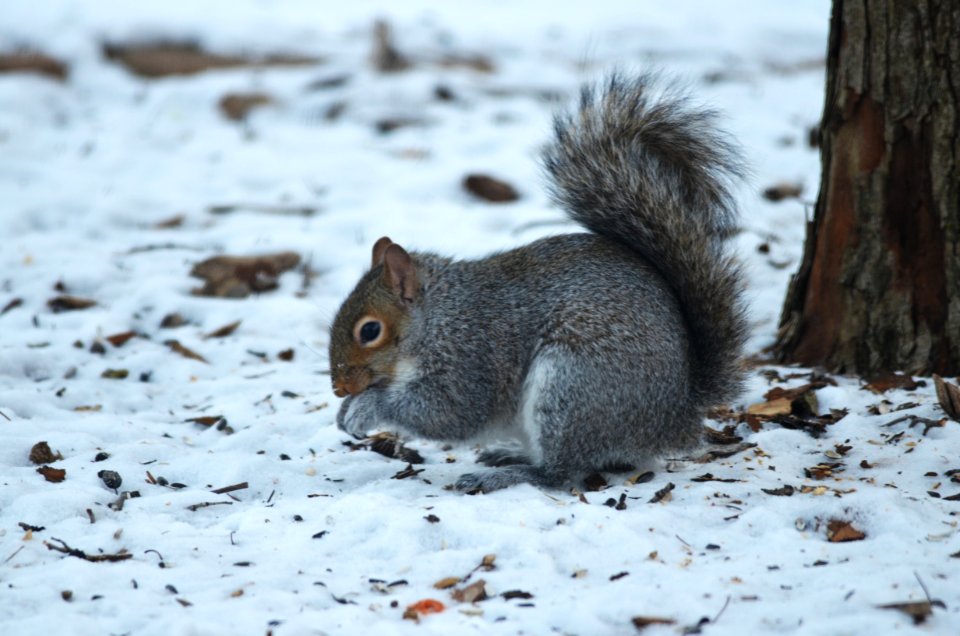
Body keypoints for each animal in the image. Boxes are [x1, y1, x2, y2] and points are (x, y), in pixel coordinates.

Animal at [330, 73, 752, 492]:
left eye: (370, 331)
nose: (339, 388)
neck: (437, 319)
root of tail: (676, 417)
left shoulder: (470, 357)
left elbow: (450, 412)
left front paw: (367, 408)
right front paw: (345, 410)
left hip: (574, 386)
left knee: (561, 472)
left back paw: (509, 475)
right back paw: (508, 456)